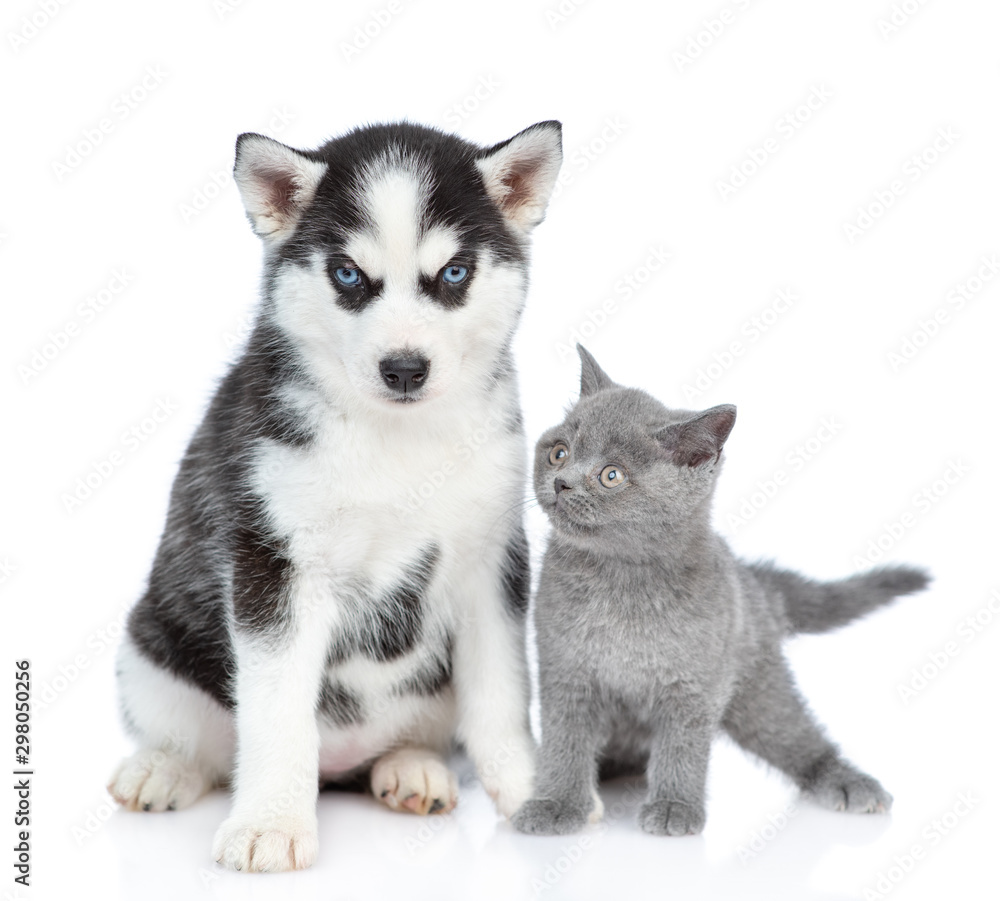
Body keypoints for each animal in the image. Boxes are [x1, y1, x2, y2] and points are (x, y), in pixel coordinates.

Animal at [110, 121, 568, 872]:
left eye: (453, 273)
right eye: (349, 274)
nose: (405, 368)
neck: (396, 441)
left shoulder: (492, 563)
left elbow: (502, 693)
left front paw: (538, 789)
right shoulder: (277, 564)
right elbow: (277, 711)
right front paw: (269, 823)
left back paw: (409, 769)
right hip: (151, 648)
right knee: (198, 741)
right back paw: (163, 767)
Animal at [516, 346, 928, 836]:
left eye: (611, 476)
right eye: (559, 453)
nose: (561, 483)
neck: (622, 579)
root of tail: (750, 580)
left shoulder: (695, 684)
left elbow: (683, 746)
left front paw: (674, 807)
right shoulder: (566, 672)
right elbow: (565, 740)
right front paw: (556, 802)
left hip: (757, 686)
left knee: (794, 733)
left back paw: (846, 780)